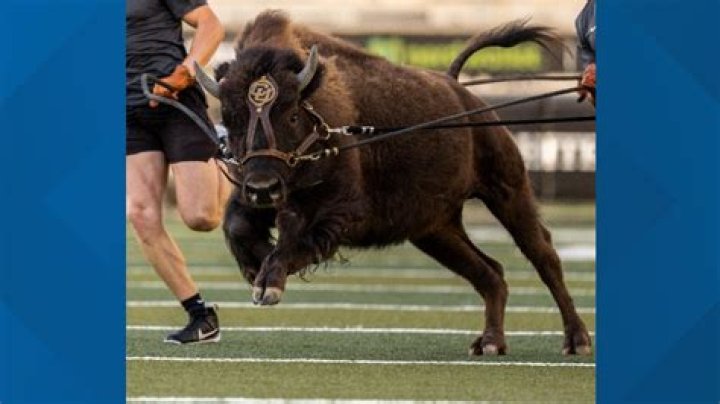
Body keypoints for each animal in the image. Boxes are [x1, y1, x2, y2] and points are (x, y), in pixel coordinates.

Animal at [195, 10, 591, 355]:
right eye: (230, 117)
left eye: (291, 114)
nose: (263, 187)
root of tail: (460, 90)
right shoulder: (255, 199)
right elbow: (239, 227)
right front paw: (257, 270)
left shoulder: (338, 213)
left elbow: (297, 240)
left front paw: (269, 283)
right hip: (435, 231)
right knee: (489, 271)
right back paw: (490, 343)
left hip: (507, 192)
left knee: (544, 256)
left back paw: (576, 340)